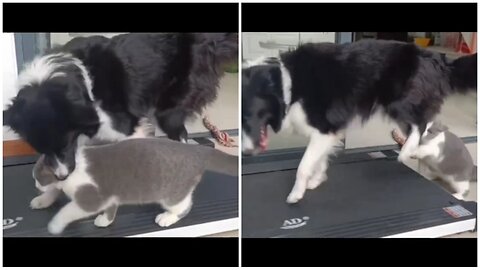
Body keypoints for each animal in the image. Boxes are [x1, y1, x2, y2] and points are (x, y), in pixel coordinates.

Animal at [3, 32, 236, 179]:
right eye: (40, 150)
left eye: (64, 145)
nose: (61, 177)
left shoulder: (126, 126)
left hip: (169, 108)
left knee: (180, 135)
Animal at [31, 137, 238, 234]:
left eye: (39, 178)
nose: (35, 185)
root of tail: (198, 149)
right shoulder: (110, 195)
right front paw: (41, 200)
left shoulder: (91, 198)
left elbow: (67, 210)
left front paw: (54, 225)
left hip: (172, 192)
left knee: (184, 205)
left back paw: (167, 217)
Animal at [244, 38, 476, 202]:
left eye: (250, 114)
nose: (245, 153)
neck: (286, 84)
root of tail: (438, 59)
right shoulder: (327, 133)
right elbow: (319, 160)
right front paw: (317, 180)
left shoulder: (324, 128)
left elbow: (304, 165)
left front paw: (296, 193)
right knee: (420, 125)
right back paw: (412, 148)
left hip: (400, 101)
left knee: (422, 123)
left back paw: (407, 151)